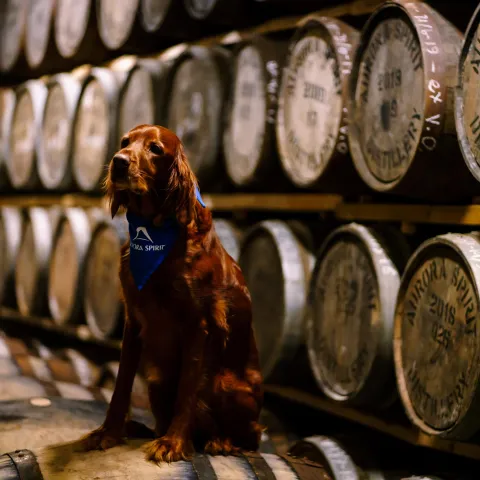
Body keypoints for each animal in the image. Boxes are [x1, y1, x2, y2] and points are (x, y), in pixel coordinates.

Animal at [81, 125, 264, 464]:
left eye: (155, 149)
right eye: (125, 142)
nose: (119, 162)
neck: (156, 234)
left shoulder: (197, 325)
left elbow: (187, 391)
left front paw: (174, 442)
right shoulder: (133, 319)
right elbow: (121, 383)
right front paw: (109, 432)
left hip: (229, 386)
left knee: (251, 437)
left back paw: (221, 441)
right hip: (157, 381)